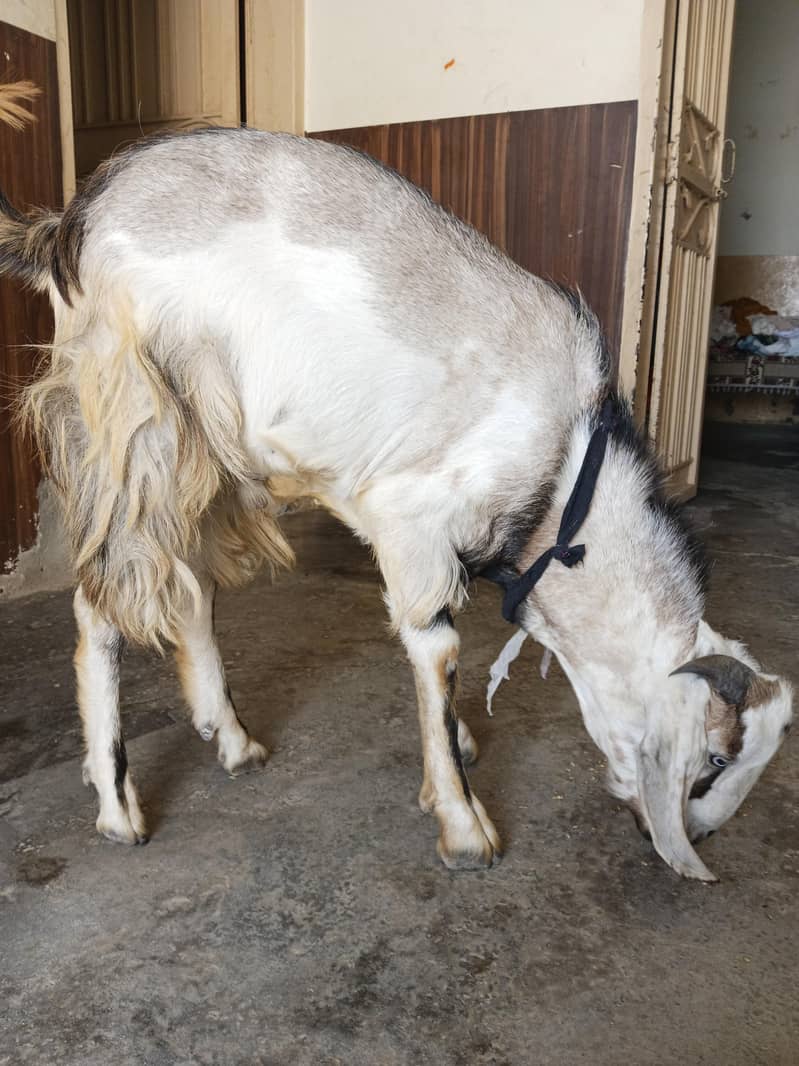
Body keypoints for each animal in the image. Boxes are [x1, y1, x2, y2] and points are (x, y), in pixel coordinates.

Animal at [1, 128, 792, 881]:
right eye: (715, 759)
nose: (696, 836)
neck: (564, 482)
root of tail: (74, 218)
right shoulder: (411, 515)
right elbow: (437, 649)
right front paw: (463, 824)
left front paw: (460, 747)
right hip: (134, 424)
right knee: (106, 597)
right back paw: (116, 804)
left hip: (209, 444)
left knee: (190, 590)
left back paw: (229, 739)